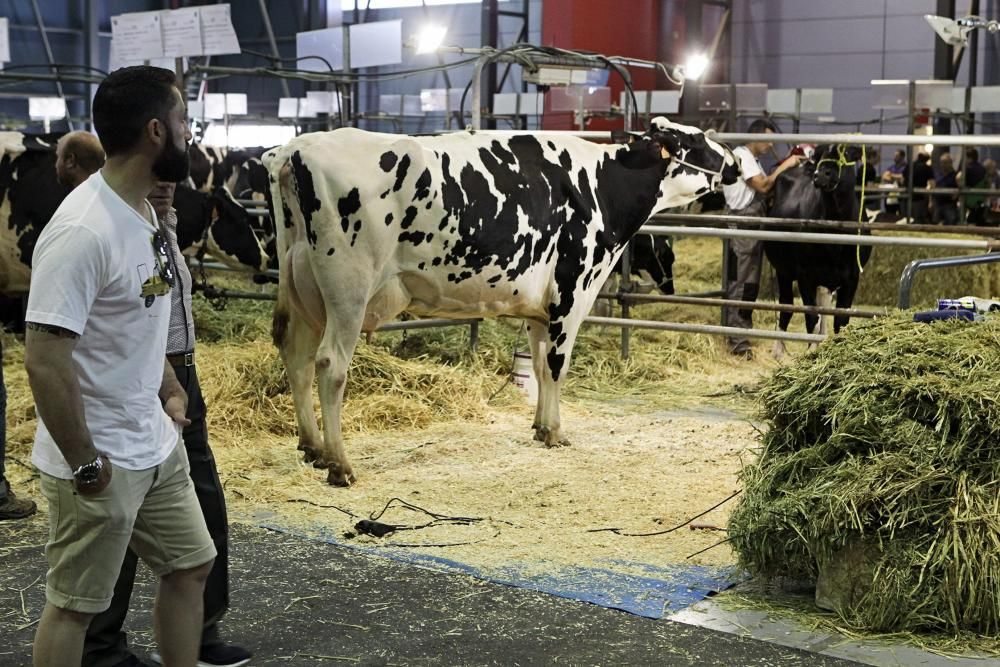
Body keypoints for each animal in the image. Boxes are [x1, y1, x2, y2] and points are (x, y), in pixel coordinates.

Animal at [262, 120, 740, 486]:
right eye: (698, 139)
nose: (735, 161)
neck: (602, 185)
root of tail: (297, 148)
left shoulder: (540, 308)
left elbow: (541, 363)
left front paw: (542, 427)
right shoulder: (573, 292)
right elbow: (558, 364)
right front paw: (557, 432)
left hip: (301, 288)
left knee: (295, 354)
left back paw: (311, 447)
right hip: (348, 288)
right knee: (330, 364)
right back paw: (340, 465)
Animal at [760, 144, 872, 358]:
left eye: (846, 153)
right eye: (820, 155)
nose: (821, 175)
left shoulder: (852, 277)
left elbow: (840, 320)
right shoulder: (806, 275)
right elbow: (811, 316)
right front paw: (812, 351)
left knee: (824, 308)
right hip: (783, 271)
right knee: (786, 305)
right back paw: (778, 350)